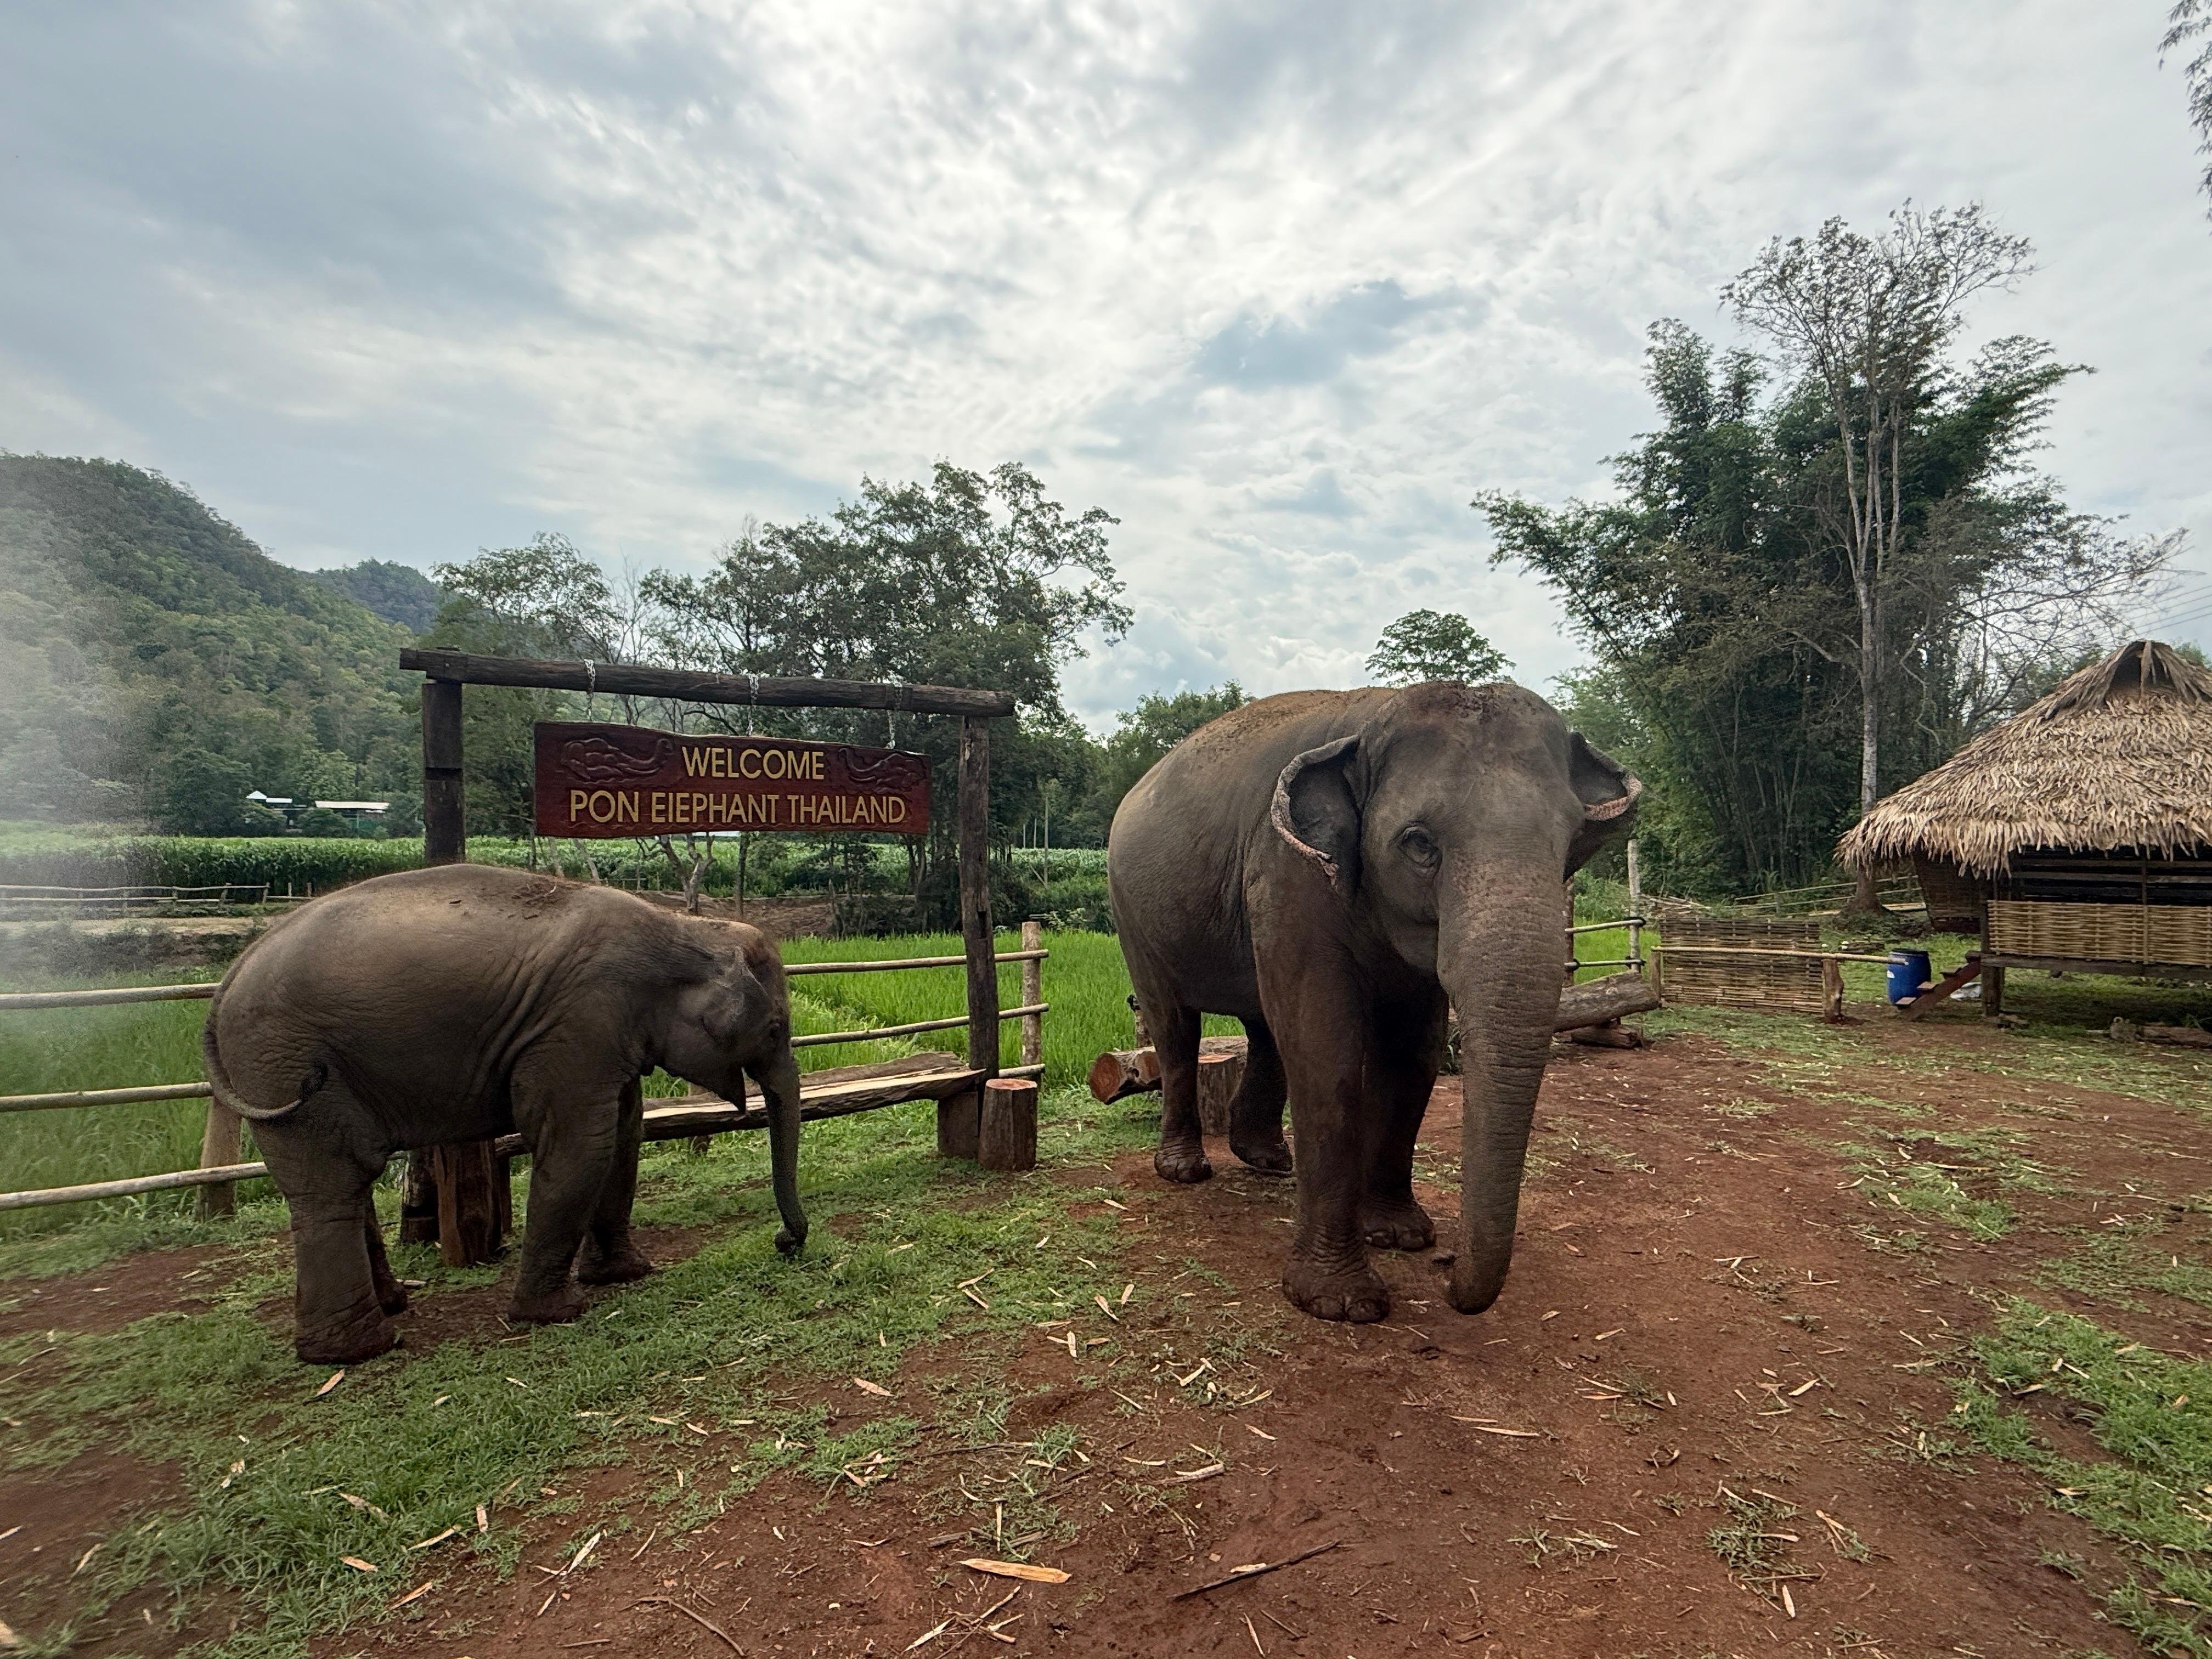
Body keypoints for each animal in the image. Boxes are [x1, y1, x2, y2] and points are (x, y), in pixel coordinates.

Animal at [201, 863, 806, 1364]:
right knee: (331, 1183)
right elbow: (582, 1145)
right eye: (776, 1029)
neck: (685, 926)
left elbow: (623, 1133)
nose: (786, 1242)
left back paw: (390, 1309)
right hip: (283, 1064)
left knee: (344, 1184)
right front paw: (558, 1312)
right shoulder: (579, 1021)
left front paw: (625, 1275)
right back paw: (361, 1349)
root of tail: (231, 974)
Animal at [1106, 681, 1638, 1324]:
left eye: (1569, 844)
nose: (1447, 1279)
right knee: (1175, 1026)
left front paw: (1402, 1237)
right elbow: (1325, 1049)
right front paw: (1341, 1303)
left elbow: (1411, 1054)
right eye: (1419, 844)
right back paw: (1185, 1169)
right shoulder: (1288, 872)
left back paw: (1268, 1159)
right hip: (1132, 913)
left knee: (1264, 1026)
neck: (1372, 718)